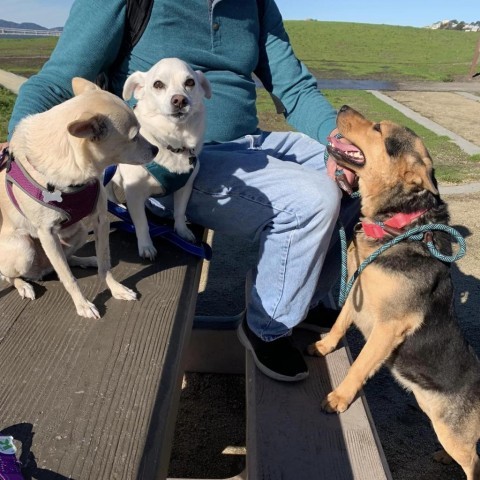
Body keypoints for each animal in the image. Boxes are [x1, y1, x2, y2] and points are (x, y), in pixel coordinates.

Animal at [0, 78, 158, 318]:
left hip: (80, 231)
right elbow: (68, 278)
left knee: (64, 260)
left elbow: (105, 263)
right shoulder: (47, 234)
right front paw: (82, 304)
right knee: (13, 275)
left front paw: (115, 289)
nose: (156, 149)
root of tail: (41, 269)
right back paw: (24, 285)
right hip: (23, 248)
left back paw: (85, 260)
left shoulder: (100, 220)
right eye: (133, 137)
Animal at [107, 57, 212, 260]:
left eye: (190, 82)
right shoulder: (134, 195)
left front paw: (181, 231)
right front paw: (146, 246)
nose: (179, 99)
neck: (172, 143)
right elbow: (142, 223)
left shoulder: (185, 187)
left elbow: (179, 211)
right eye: (158, 84)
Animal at [308, 106, 480, 480]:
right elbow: (340, 323)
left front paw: (339, 398)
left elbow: (359, 366)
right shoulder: (356, 287)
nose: (342, 107)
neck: (398, 226)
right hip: (438, 420)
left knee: (474, 461)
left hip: (455, 434)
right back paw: (443, 458)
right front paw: (324, 346)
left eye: (377, 129)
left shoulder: (390, 327)